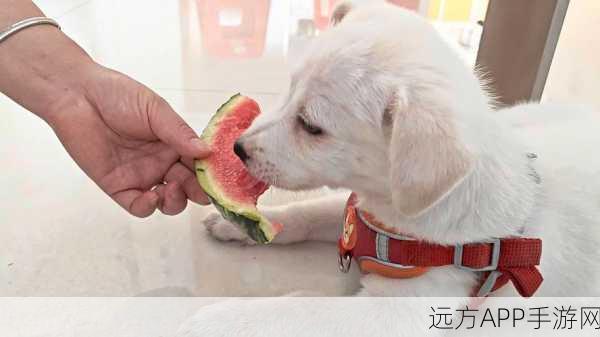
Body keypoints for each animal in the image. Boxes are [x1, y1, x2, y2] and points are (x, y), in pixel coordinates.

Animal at [180, 1, 600, 334]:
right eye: (288, 90)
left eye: (312, 127)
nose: (237, 149)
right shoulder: (359, 215)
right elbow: (307, 213)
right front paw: (244, 224)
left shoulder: (396, 309)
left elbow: (297, 308)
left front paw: (219, 321)